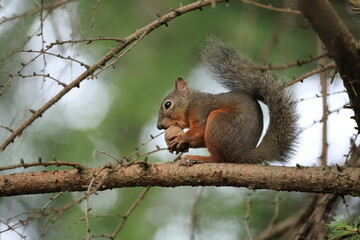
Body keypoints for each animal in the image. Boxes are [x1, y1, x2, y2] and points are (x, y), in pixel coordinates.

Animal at [156, 38, 296, 166]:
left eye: (167, 104)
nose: (159, 126)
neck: (191, 103)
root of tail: (241, 155)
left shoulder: (200, 111)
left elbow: (199, 131)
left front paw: (181, 137)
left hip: (218, 121)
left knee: (220, 158)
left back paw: (199, 158)